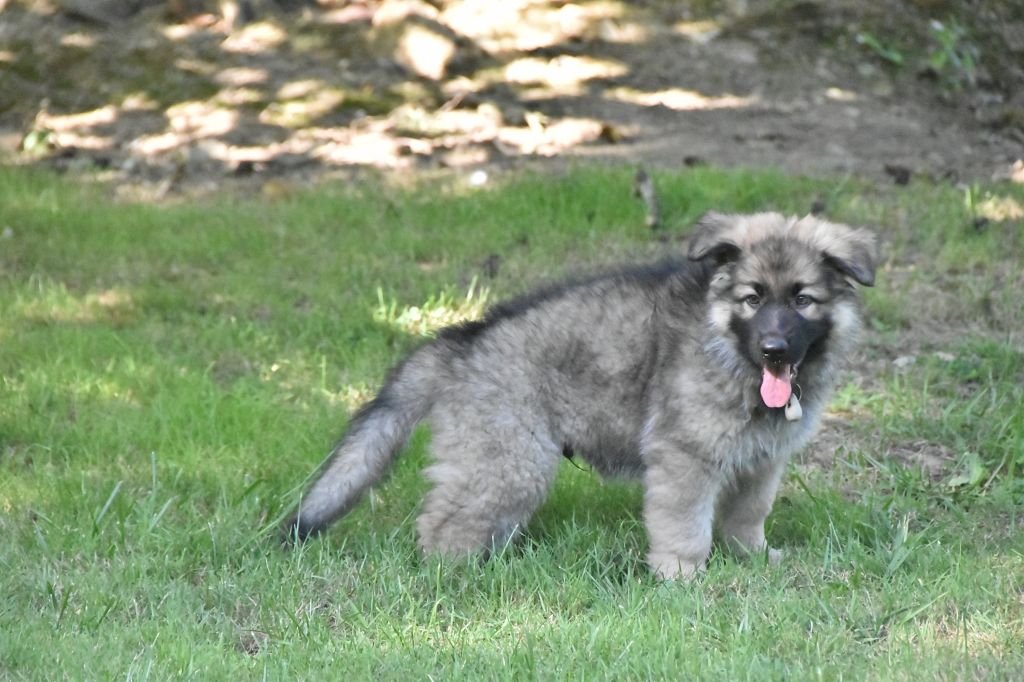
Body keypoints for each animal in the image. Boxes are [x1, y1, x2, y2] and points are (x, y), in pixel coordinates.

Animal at [283, 212, 877, 579]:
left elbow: (747, 514)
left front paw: (750, 558)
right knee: (444, 526)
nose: (774, 349)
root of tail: (462, 341)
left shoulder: (761, 459)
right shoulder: (684, 456)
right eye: (753, 299)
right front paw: (683, 576)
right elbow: (685, 523)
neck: (729, 346)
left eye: (801, 300)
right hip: (511, 459)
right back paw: (454, 578)